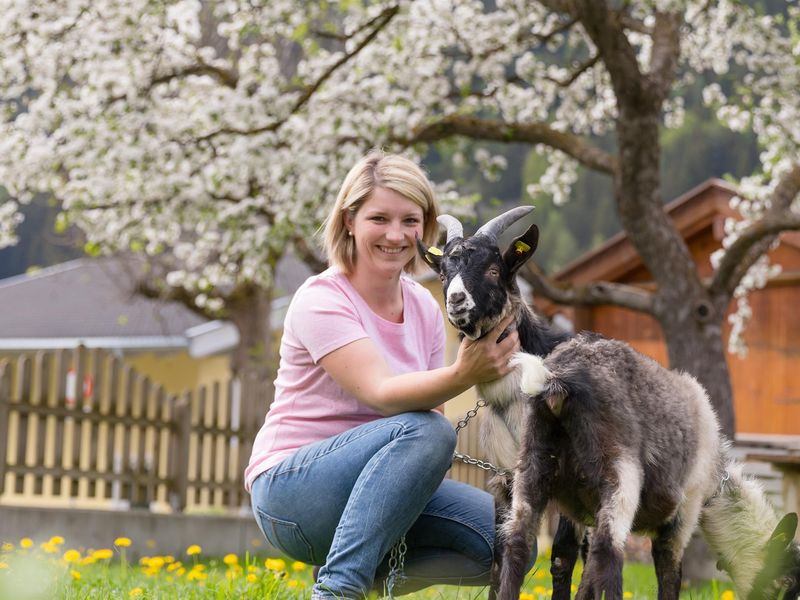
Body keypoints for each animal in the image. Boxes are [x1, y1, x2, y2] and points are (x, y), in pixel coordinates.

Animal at [418, 206, 800, 600]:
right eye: (443, 272)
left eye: (494, 270)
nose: (456, 301)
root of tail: (555, 381)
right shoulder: (507, 480)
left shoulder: (521, 481)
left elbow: (553, 557)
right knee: (601, 549)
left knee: (527, 543)